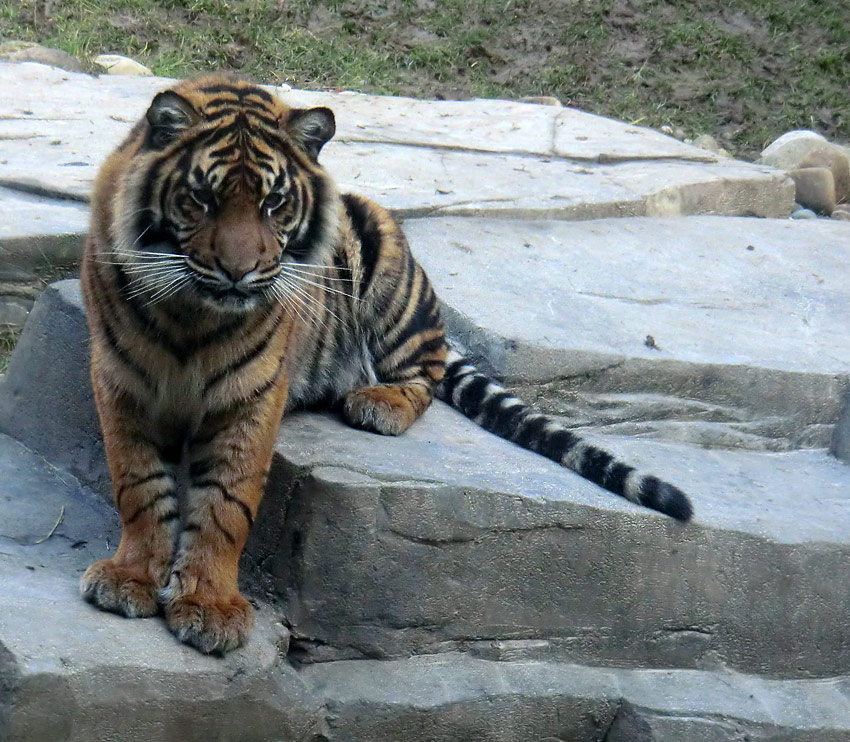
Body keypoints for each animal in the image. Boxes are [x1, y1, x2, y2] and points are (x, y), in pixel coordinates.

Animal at [78, 74, 688, 656]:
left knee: (427, 373)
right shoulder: (121, 381)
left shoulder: (253, 397)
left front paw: (210, 606)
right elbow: (139, 485)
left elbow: (226, 504)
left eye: (274, 203)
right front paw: (130, 578)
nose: (238, 271)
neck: (192, 316)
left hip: (386, 264)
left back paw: (378, 405)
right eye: (201, 199)